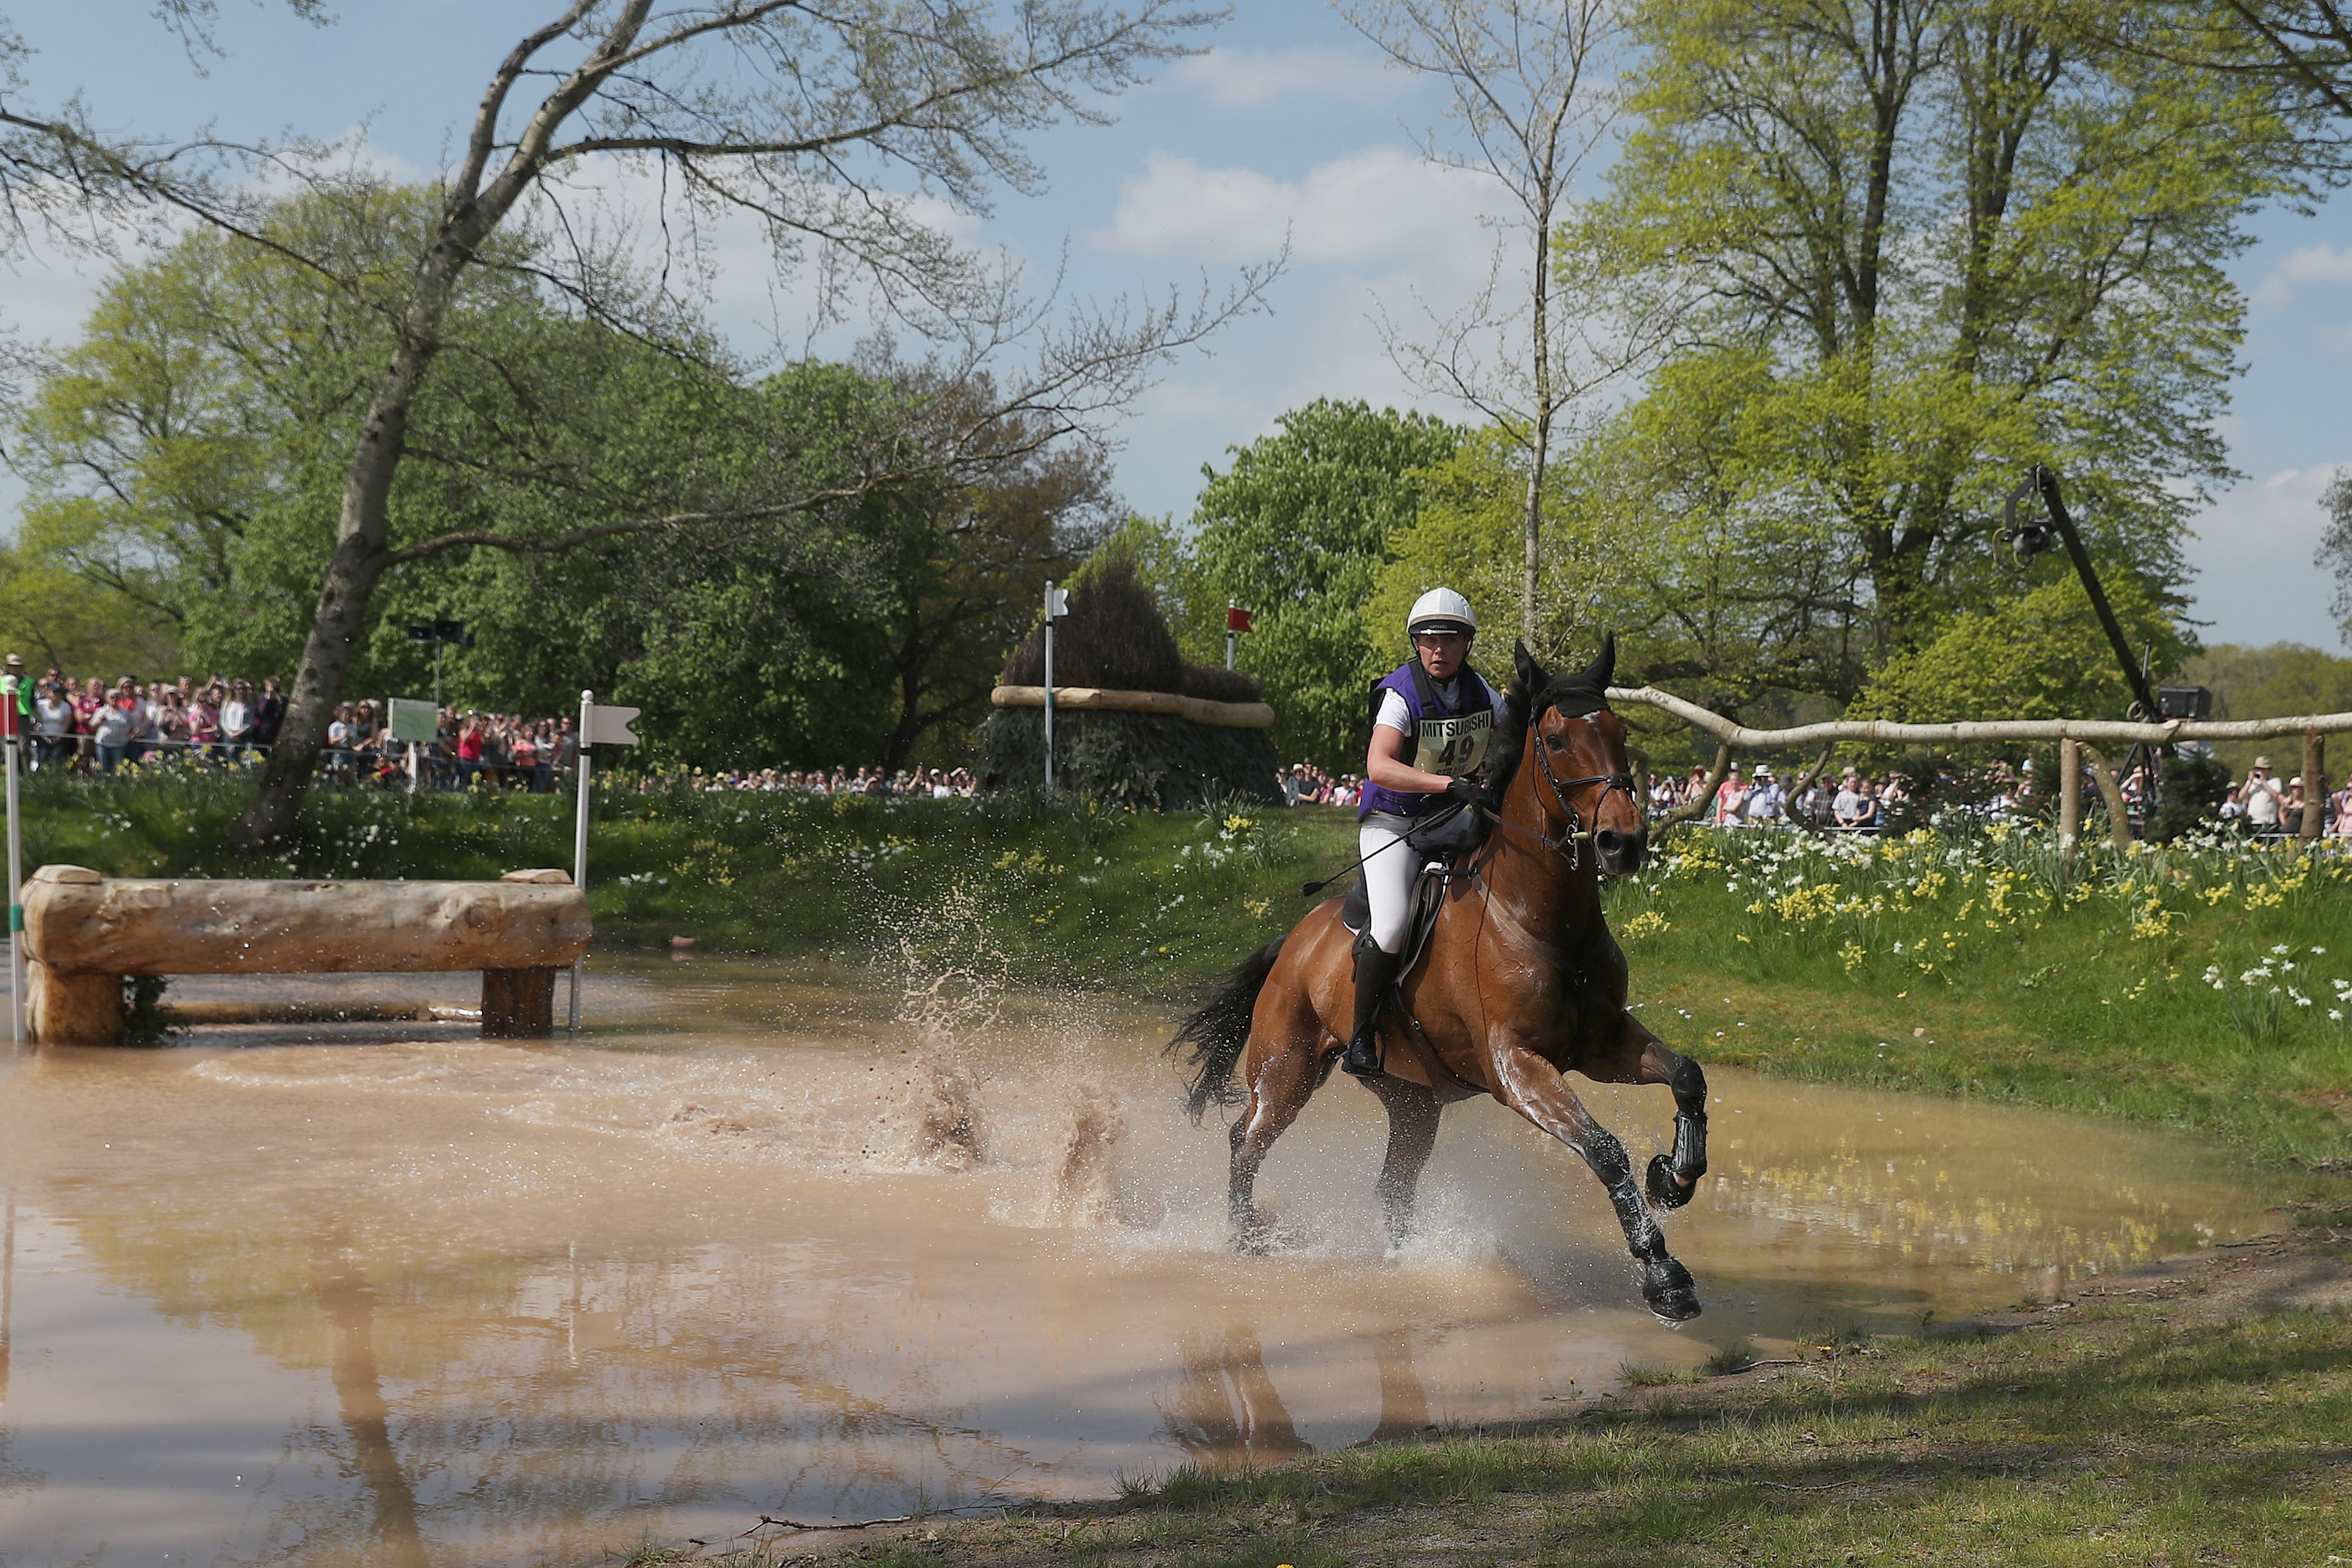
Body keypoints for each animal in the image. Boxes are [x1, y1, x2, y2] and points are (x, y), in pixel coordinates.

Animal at [1176, 639, 1712, 1325]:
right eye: (1557, 740)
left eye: (1620, 733)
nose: (1624, 842)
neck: (1540, 916)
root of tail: (1293, 942)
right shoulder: (1517, 1067)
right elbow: (1604, 1149)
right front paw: (1663, 1274)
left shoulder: (1600, 1043)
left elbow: (1687, 1076)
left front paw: (1674, 1177)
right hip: (1287, 1070)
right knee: (1247, 1139)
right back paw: (1246, 1238)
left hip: (1412, 1101)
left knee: (1390, 1185)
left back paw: (1406, 1260)